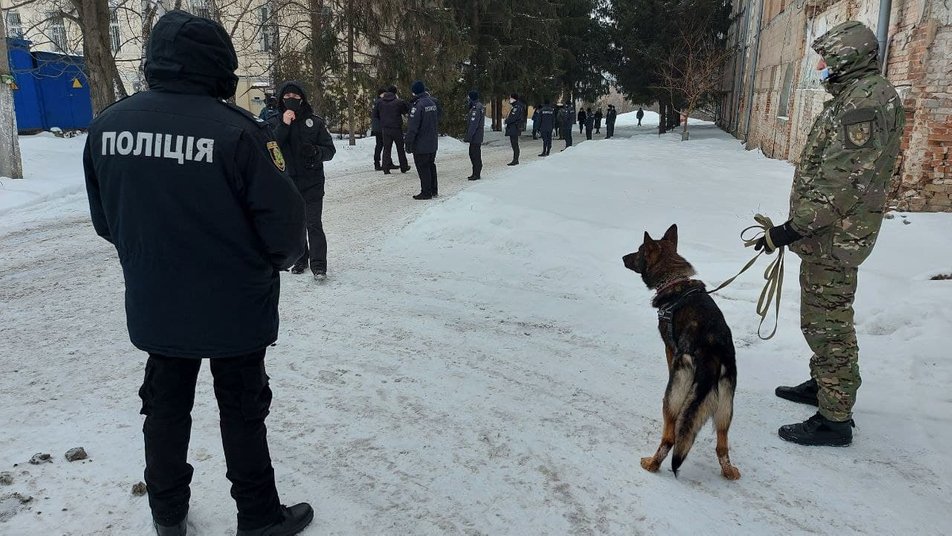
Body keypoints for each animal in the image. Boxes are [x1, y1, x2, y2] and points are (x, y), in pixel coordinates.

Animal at [624, 224, 744, 480]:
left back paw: (652, 464)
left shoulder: (669, 349)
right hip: (726, 408)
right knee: (722, 446)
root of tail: (713, 357)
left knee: (670, 437)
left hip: (673, 394)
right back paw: (728, 472)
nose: (622, 257)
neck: (673, 280)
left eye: (638, 251)